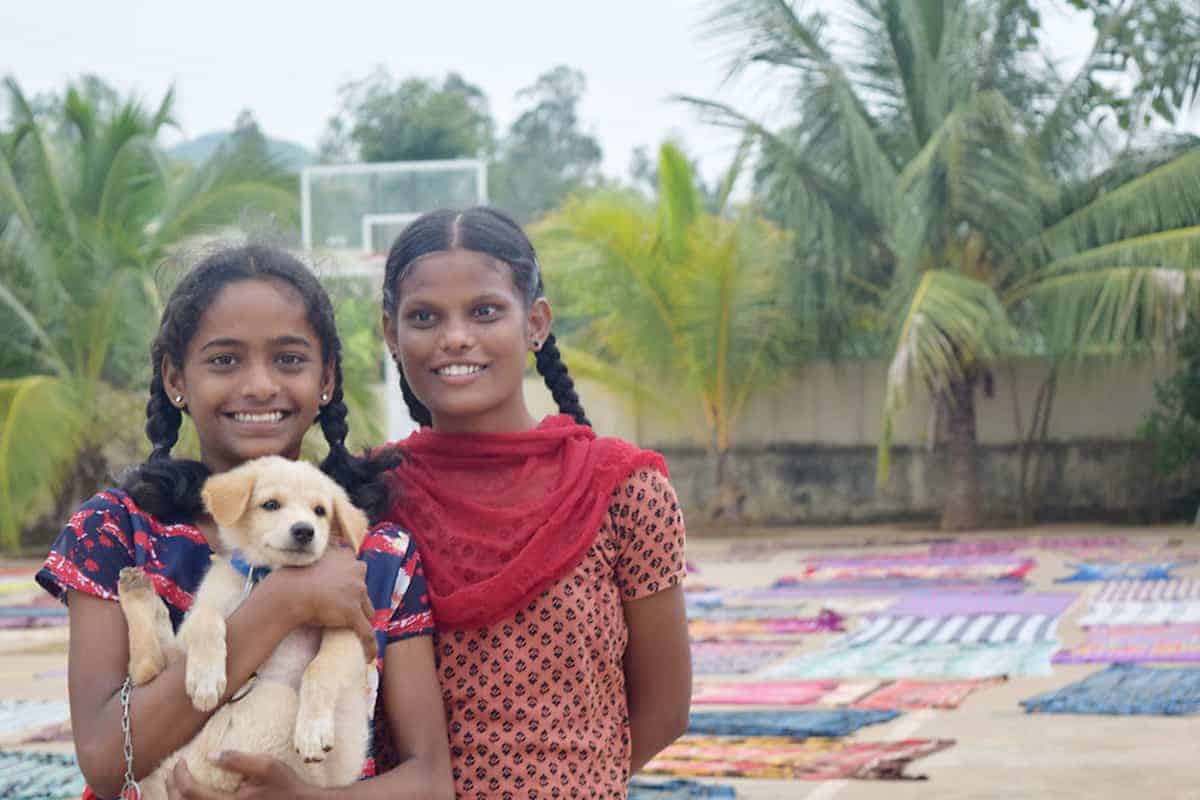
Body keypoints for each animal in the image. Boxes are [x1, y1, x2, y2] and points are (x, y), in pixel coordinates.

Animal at [118, 455, 369, 800]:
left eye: (320, 511)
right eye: (271, 504)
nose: (304, 531)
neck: (266, 575)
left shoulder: (350, 629)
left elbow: (321, 669)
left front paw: (312, 730)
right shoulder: (203, 611)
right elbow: (207, 622)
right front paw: (207, 679)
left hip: (270, 709)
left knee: (147, 668)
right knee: (147, 669)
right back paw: (137, 590)